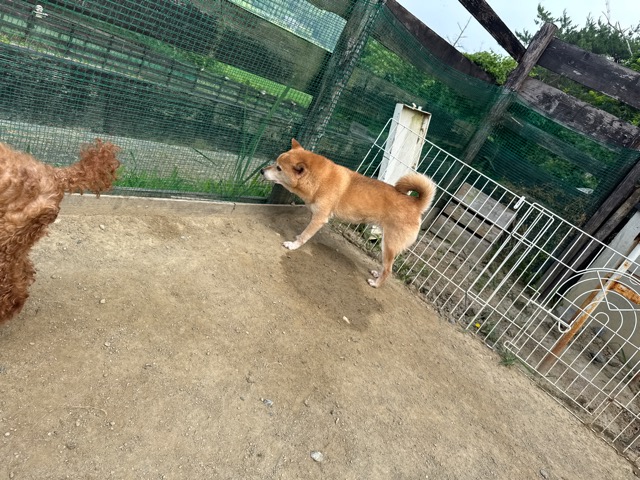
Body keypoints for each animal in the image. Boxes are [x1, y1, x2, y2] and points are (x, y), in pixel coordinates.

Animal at [261, 138, 436, 287]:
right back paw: (376, 274)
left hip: (389, 244)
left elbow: (305, 235)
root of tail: (416, 204)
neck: (320, 180)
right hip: (386, 246)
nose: (262, 170)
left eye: (279, 168)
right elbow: (304, 233)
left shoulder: (319, 219)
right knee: (386, 266)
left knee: (388, 270)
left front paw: (293, 245)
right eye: (275, 162)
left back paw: (376, 283)